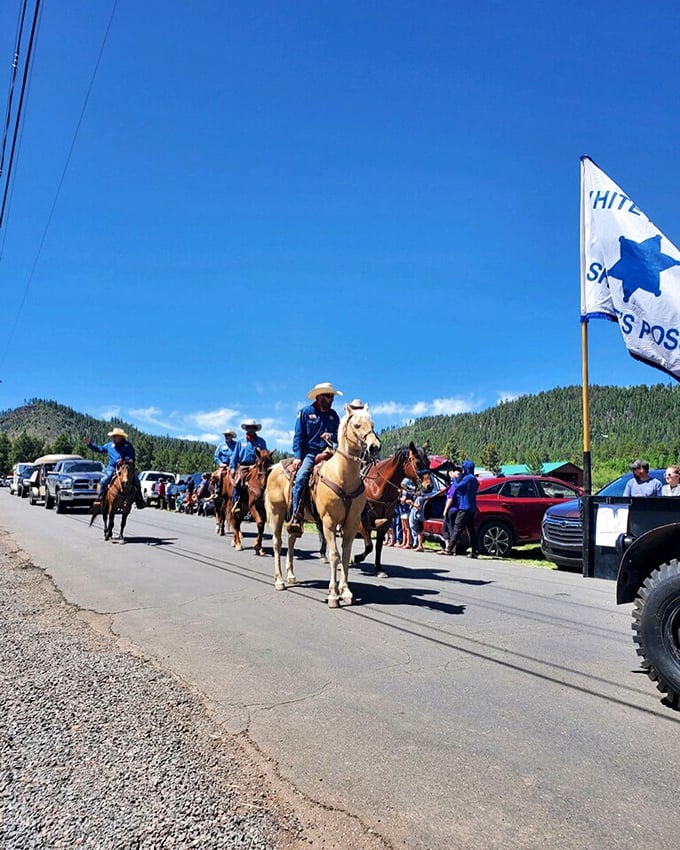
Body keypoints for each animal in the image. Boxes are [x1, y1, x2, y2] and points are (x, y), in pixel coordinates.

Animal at [266, 402, 382, 608]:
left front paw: (346, 591)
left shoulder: (352, 523)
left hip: (297, 518)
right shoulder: (329, 522)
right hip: (276, 513)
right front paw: (334, 595)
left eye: (372, 424)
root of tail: (274, 468)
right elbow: (334, 555)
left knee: (291, 540)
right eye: (357, 425)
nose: (374, 447)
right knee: (277, 543)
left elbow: (346, 555)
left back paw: (291, 575)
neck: (343, 475)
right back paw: (279, 580)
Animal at [354, 444, 428, 576]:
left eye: (428, 462)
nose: (429, 485)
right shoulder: (361, 519)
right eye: (418, 462)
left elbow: (377, 546)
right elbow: (369, 545)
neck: (377, 486)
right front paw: (356, 558)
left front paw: (379, 568)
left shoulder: (386, 521)